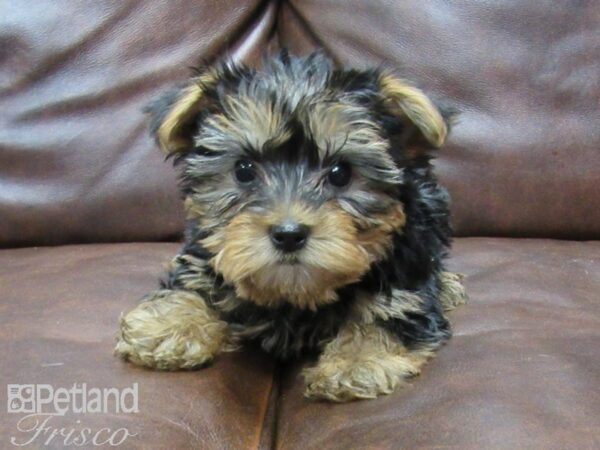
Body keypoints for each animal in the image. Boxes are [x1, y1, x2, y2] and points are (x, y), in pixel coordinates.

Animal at [115, 51, 466, 402]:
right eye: (244, 170)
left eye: (340, 173)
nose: (288, 234)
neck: (294, 293)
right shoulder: (202, 252)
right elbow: (192, 283)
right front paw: (167, 327)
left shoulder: (404, 280)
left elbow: (389, 315)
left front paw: (354, 362)